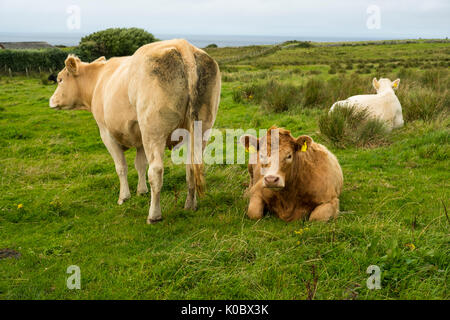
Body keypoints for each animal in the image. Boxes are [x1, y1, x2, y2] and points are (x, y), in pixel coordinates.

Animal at [49, 40, 221, 224]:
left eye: (60, 80)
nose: (51, 100)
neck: (98, 80)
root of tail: (182, 44)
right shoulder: (140, 139)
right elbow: (140, 164)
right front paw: (141, 190)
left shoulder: (106, 133)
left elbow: (121, 167)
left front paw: (124, 197)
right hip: (200, 129)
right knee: (191, 168)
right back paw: (190, 205)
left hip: (153, 131)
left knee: (156, 171)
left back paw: (154, 215)